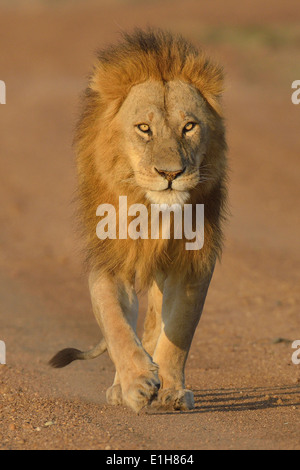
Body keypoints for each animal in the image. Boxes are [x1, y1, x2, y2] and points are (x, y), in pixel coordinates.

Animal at [49, 28, 227, 412]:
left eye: (189, 126)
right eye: (144, 128)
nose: (171, 174)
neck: (153, 211)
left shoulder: (191, 264)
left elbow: (178, 330)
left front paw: (171, 389)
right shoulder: (109, 259)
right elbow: (116, 324)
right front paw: (137, 383)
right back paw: (124, 385)